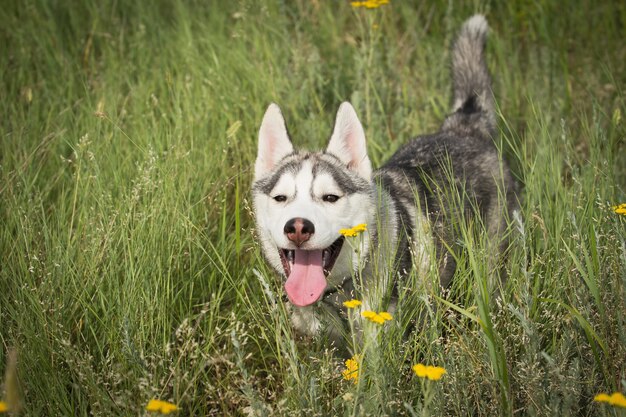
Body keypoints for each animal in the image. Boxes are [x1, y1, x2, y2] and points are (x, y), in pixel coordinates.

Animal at [251, 14, 516, 342]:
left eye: (330, 197)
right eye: (281, 198)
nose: (298, 228)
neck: (340, 297)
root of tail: (464, 127)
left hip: (492, 260)